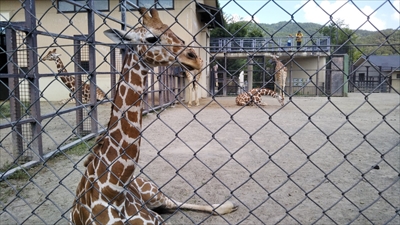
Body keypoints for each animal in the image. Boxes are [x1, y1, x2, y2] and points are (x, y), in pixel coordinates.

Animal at [70, 7, 236, 225]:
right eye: (152, 38)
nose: (195, 58)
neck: (113, 190)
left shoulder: (155, 219)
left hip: (153, 194)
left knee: (174, 202)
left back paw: (226, 205)